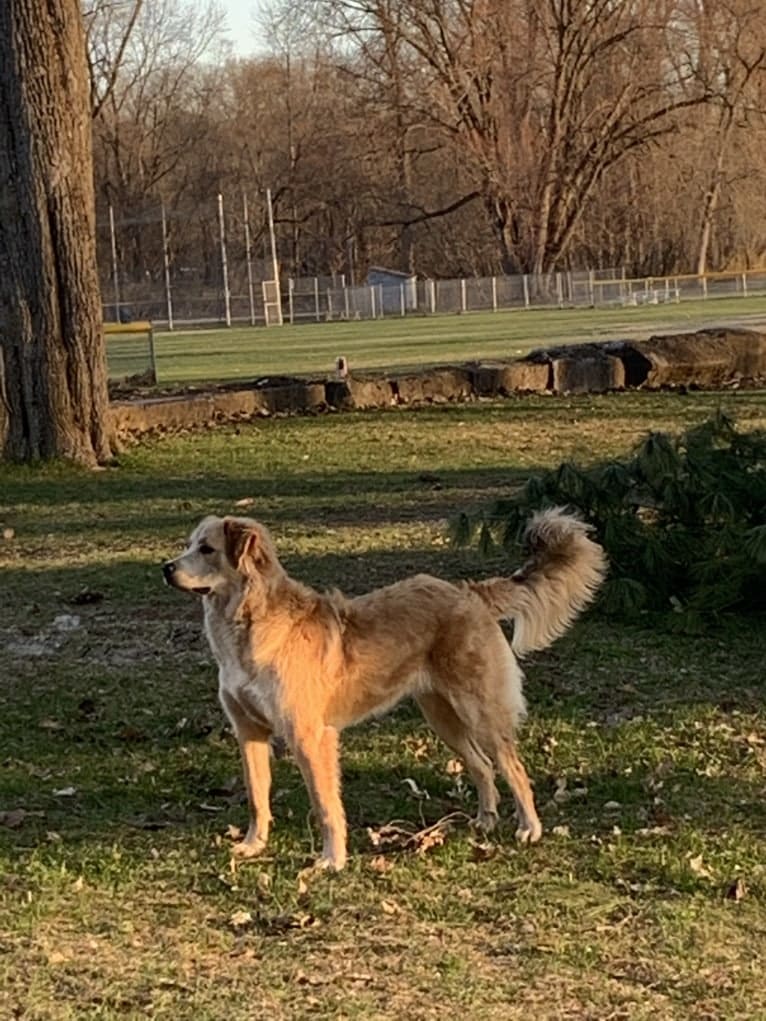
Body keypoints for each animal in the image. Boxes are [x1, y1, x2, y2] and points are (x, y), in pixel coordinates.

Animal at [165, 510, 608, 869]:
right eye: (189, 545)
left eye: (206, 549)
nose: (166, 569)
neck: (250, 625)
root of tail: (468, 593)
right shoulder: (249, 732)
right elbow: (258, 796)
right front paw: (254, 845)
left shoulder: (310, 737)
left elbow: (325, 805)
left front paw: (332, 860)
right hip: (441, 716)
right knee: (482, 766)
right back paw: (485, 820)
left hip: (479, 711)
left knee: (513, 768)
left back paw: (529, 827)